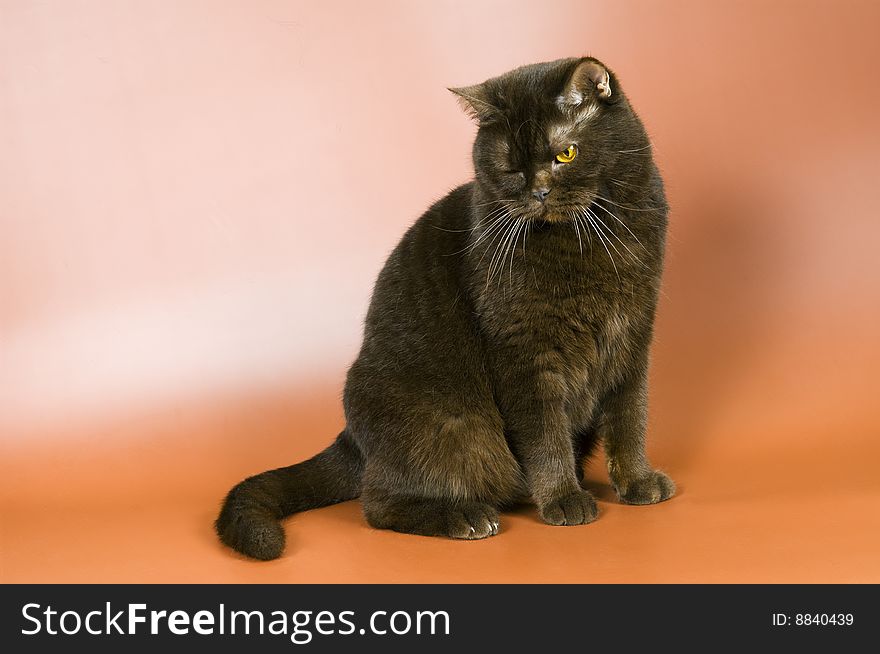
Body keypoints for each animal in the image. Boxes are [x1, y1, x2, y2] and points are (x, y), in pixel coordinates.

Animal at [217, 56, 672, 560]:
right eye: (510, 167)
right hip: (452, 423)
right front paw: (562, 499)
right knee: (378, 504)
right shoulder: (524, 350)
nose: (538, 192)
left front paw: (638, 481)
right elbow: (544, 431)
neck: (587, 237)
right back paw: (466, 517)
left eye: (566, 155)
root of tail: (353, 438)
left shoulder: (633, 335)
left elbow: (630, 415)